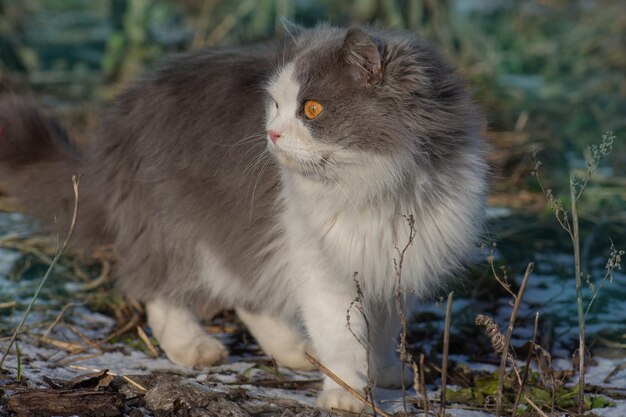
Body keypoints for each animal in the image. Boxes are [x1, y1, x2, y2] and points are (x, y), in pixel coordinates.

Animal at [0, 23, 486, 410]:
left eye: (311, 109)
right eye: (275, 105)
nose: (271, 133)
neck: (379, 187)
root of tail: (120, 116)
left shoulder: (391, 266)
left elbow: (383, 332)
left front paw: (383, 374)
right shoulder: (323, 267)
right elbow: (343, 338)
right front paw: (347, 396)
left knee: (247, 295)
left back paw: (295, 351)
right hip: (172, 224)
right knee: (159, 290)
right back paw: (196, 349)